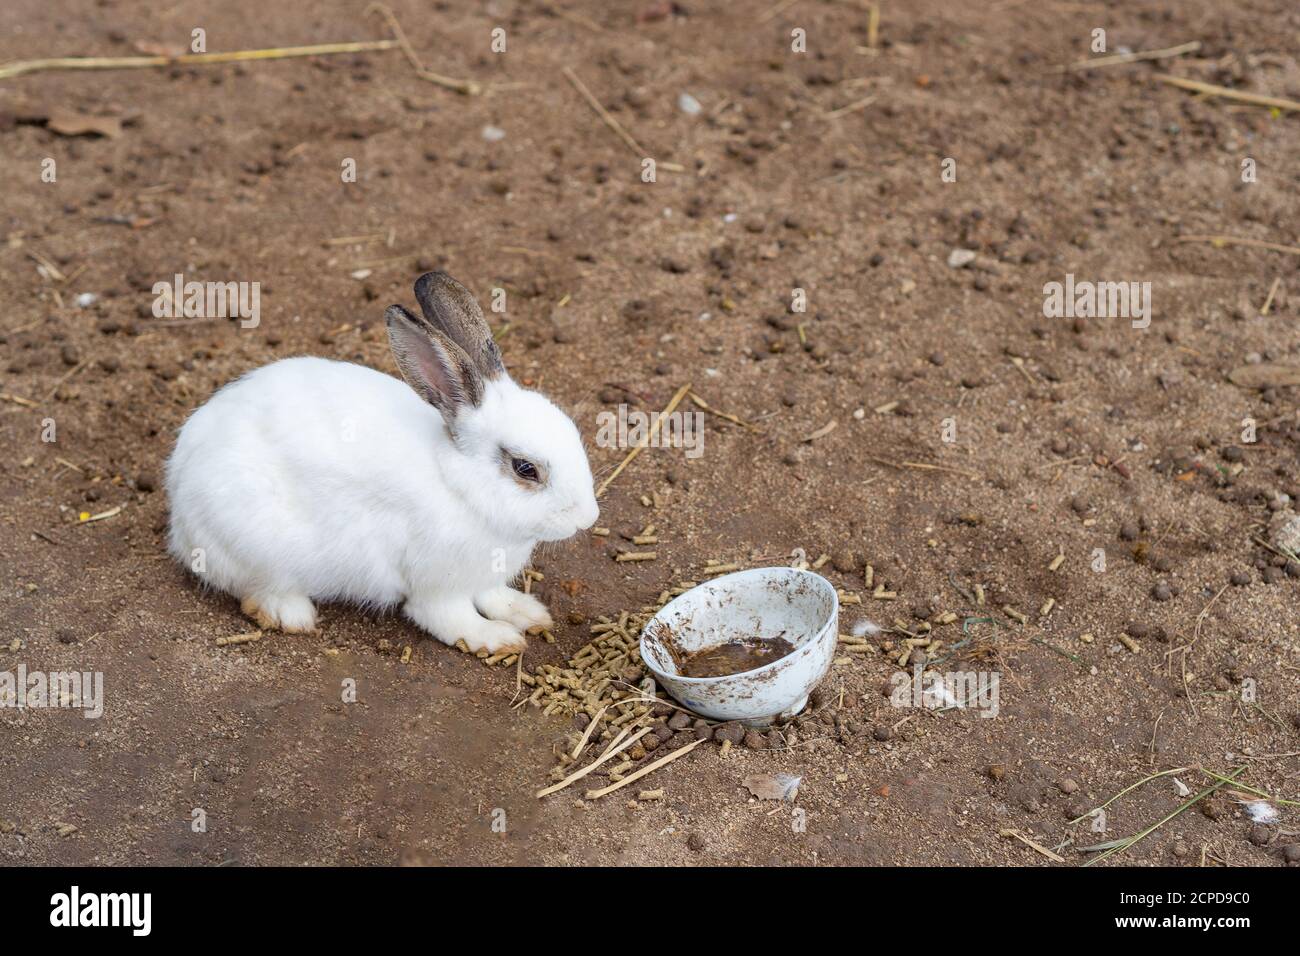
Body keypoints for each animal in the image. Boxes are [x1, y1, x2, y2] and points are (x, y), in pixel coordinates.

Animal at [165, 271, 599, 653]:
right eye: (525, 469)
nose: (587, 518)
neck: (459, 486)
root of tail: (179, 500)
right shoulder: (437, 586)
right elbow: (451, 619)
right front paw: (496, 639)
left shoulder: (482, 579)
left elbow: (493, 596)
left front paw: (527, 612)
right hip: (255, 543)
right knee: (251, 587)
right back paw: (291, 613)